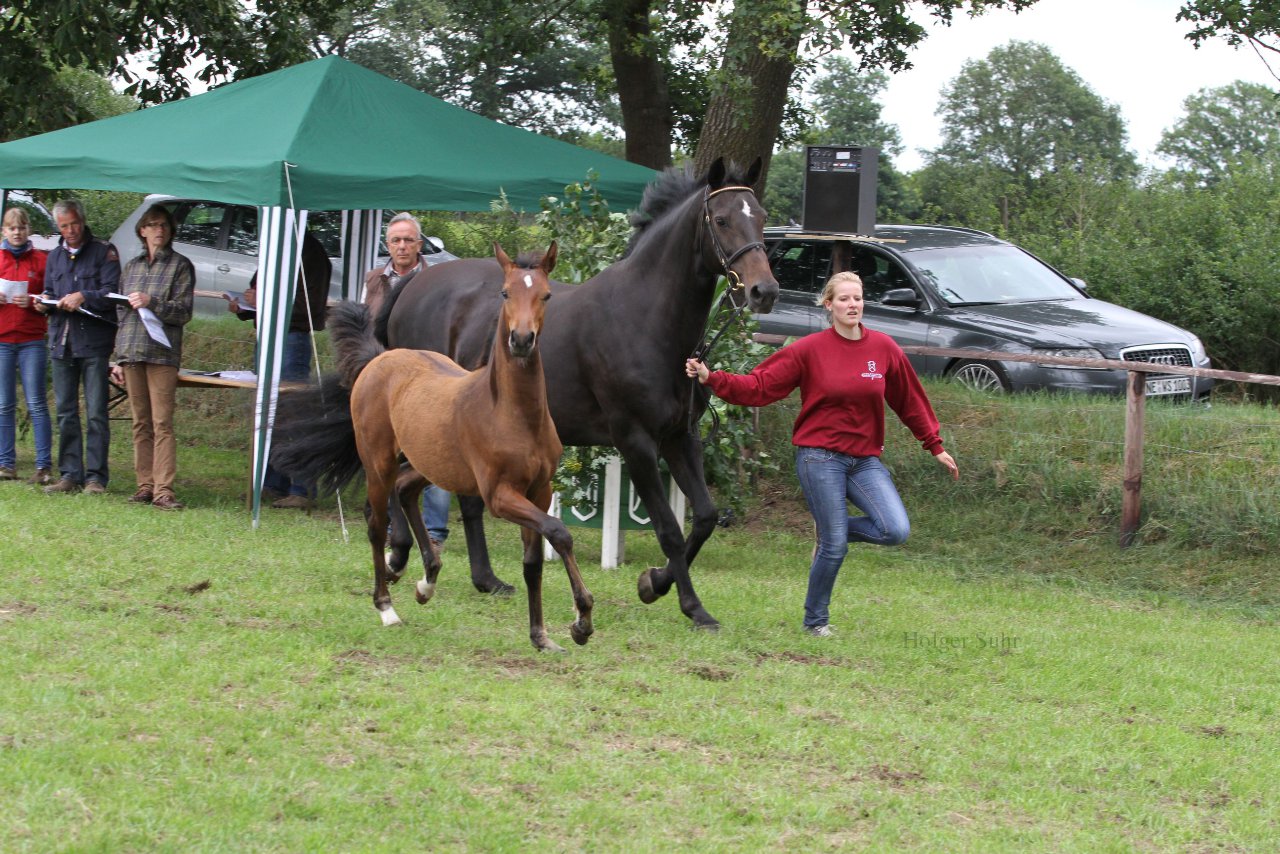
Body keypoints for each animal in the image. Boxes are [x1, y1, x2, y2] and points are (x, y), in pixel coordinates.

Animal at [276, 243, 593, 650]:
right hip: (379, 461)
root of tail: (381, 357)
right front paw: (581, 620)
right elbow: (559, 531)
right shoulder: (500, 495)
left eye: (546, 295)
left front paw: (542, 637)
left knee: (405, 489)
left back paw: (426, 581)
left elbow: (534, 561)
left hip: (432, 465)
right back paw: (387, 606)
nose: (521, 340)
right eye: (505, 293)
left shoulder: (538, 490)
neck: (513, 412)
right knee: (376, 524)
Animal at [376, 160, 778, 627]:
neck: (645, 317)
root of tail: (412, 284)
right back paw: (398, 556)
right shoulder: (636, 441)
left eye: (761, 216)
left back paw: (486, 579)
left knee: (465, 500)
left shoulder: (681, 437)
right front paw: (689, 604)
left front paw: (656, 584)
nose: (764, 291)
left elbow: (706, 518)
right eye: (722, 220)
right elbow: (669, 531)